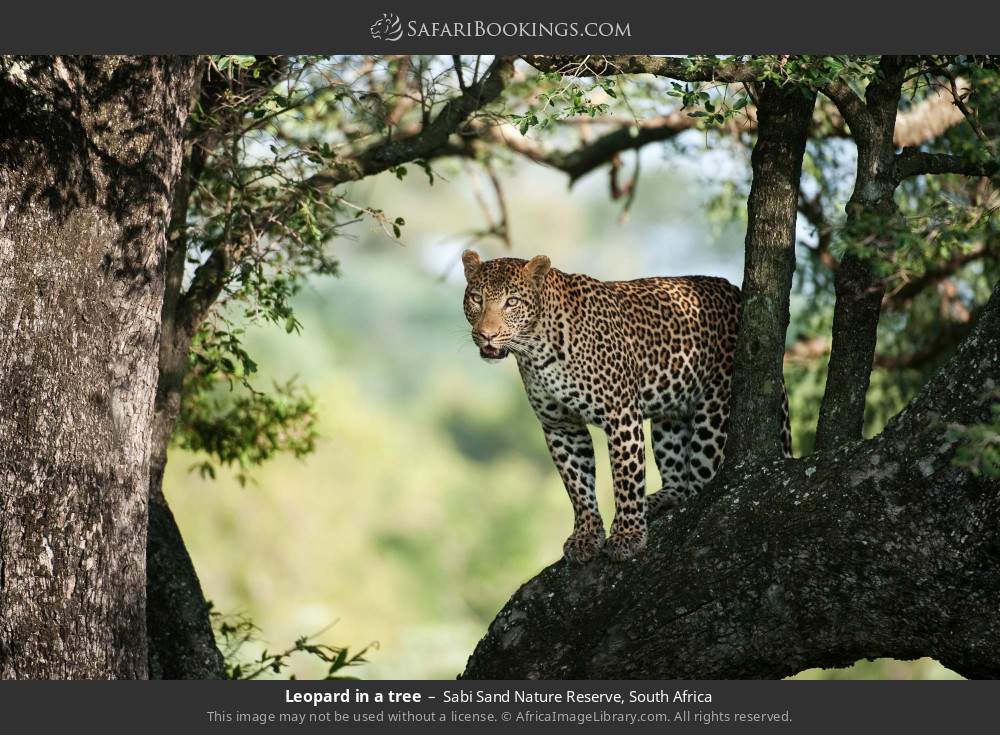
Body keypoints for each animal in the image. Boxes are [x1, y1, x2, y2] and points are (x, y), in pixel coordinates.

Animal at [460, 249, 791, 563]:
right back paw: (656, 502)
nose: (487, 334)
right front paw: (586, 536)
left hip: (714, 413)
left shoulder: (620, 415)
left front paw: (627, 536)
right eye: (477, 298)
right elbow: (577, 485)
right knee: (679, 484)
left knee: (702, 483)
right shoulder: (561, 426)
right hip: (669, 418)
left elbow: (626, 478)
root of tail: (735, 290)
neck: (536, 349)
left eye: (511, 302)